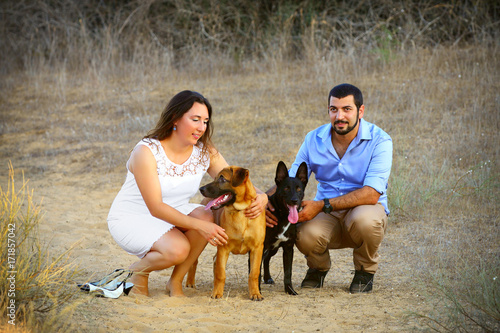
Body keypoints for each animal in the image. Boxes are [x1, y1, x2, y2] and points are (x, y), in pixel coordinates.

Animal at [199, 165, 268, 298]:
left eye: (222, 178)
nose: (201, 189)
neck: (240, 212)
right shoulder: (223, 247)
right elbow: (221, 273)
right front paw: (217, 293)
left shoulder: (257, 248)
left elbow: (254, 273)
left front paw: (255, 294)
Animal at [264, 160, 306, 294]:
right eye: (286, 188)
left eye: (299, 189)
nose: (294, 200)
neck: (282, 217)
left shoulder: (288, 248)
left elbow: (288, 272)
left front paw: (290, 290)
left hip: (273, 248)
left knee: (266, 258)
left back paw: (267, 278)